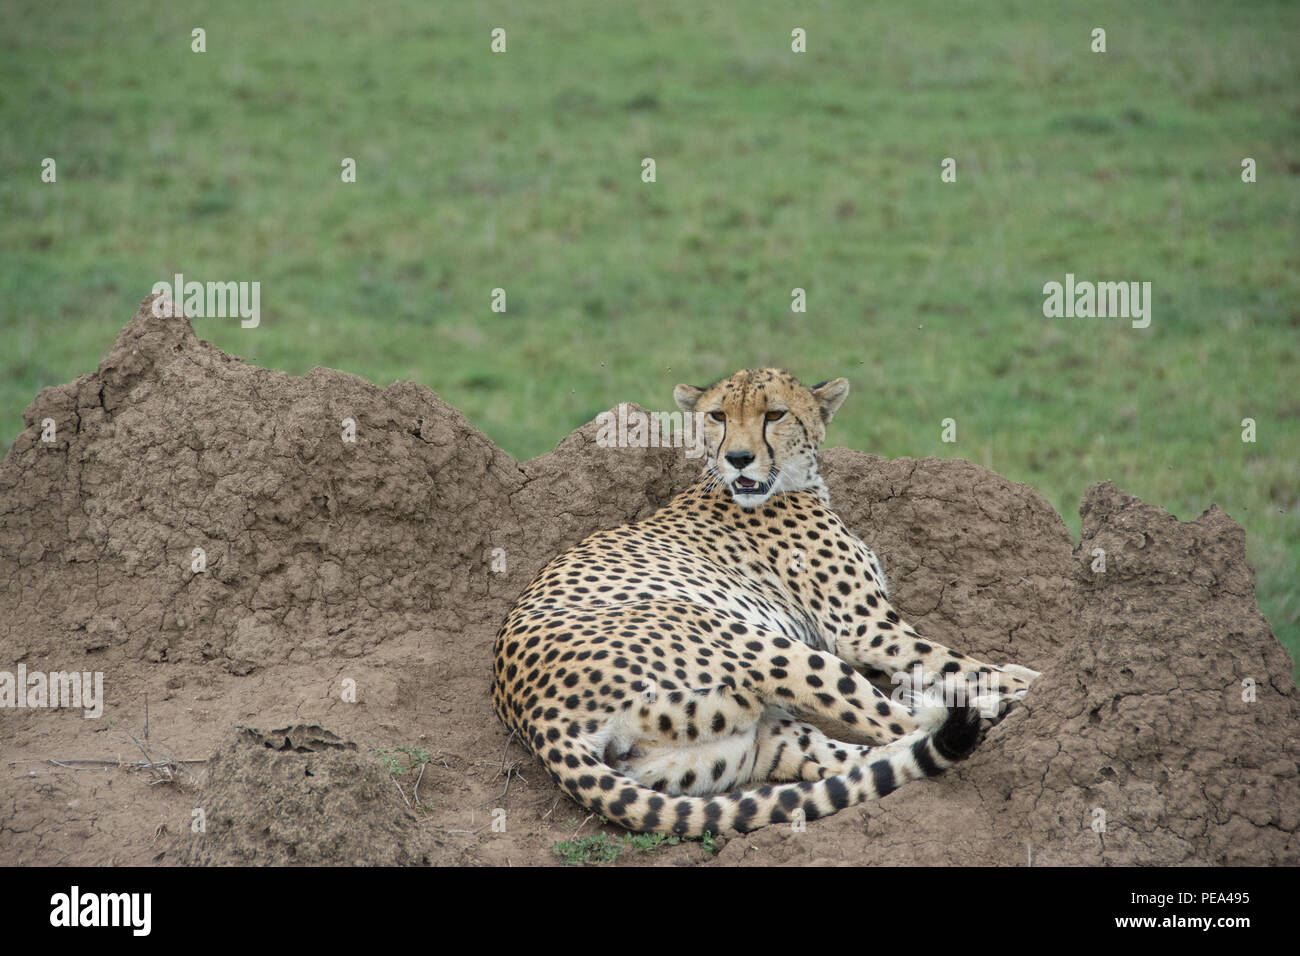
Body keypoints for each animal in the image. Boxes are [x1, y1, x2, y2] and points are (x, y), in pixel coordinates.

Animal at [491, 369, 1040, 832]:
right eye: (718, 416)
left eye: (774, 415)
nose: (738, 459)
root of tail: (532, 717)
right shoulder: (864, 629)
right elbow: (952, 658)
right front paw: (1027, 681)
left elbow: (942, 663)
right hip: (764, 646)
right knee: (900, 721)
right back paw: (993, 707)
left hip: (742, 743)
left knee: (854, 759)